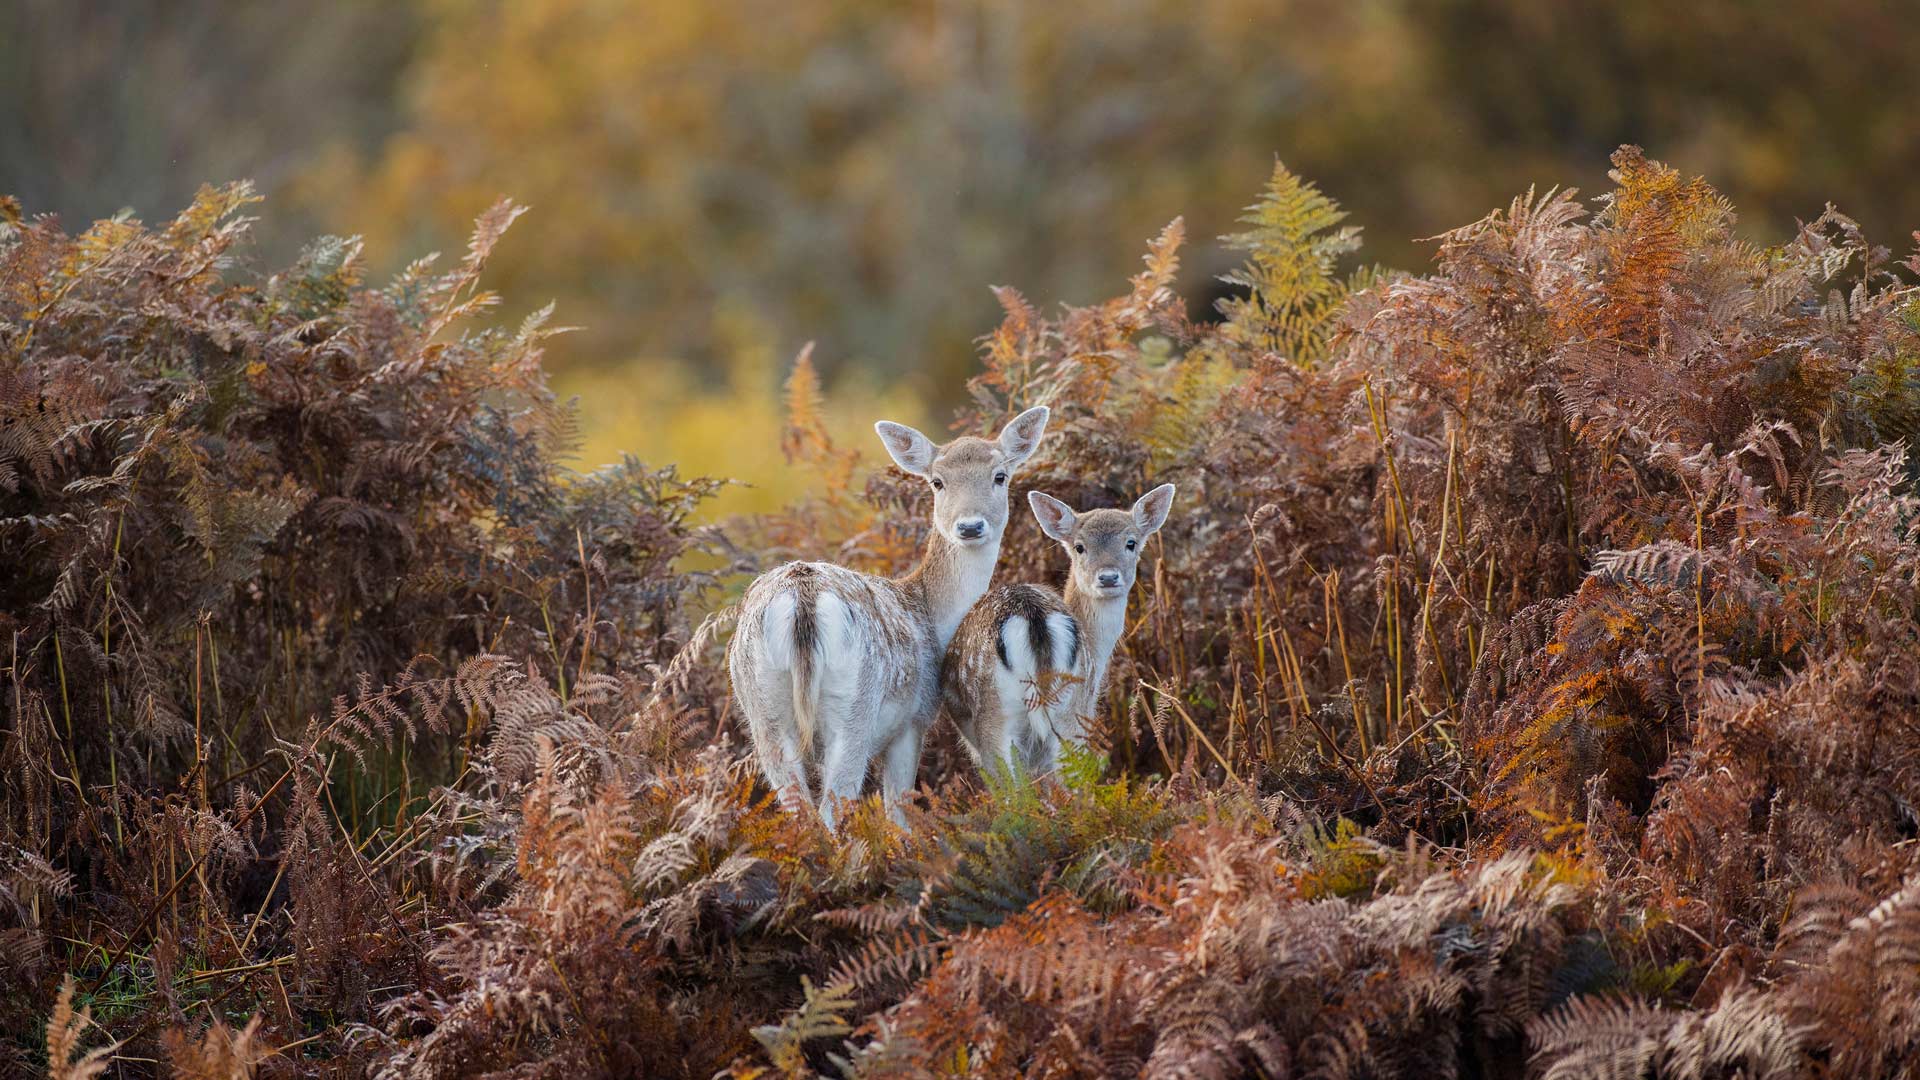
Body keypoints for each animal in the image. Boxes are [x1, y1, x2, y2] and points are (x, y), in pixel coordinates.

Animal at [725, 403, 1052, 822]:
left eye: (1000, 475)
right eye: (937, 482)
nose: (970, 526)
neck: (931, 614)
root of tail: (801, 598)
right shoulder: (914, 720)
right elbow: (898, 815)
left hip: (761, 704)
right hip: (854, 707)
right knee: (832, 808)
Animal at [940, 484, 1167, 776]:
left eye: (1131, 543)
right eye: (1079, 547)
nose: (1107, 577)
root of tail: (1033, 617)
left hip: (1001, 717)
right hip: (1064, 710)